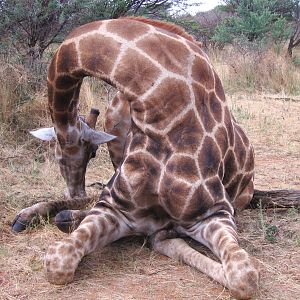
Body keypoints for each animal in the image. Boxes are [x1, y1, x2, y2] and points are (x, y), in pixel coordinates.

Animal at [12, 18, 260, 298]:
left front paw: (165, 234)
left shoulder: (215, 212)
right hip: (114, 123)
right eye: (60, 157)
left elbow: (244, 276)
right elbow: (58, 262)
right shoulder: (117, 209)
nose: (73, 191)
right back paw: (31, 216)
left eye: (92, 153)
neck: (161, 111)